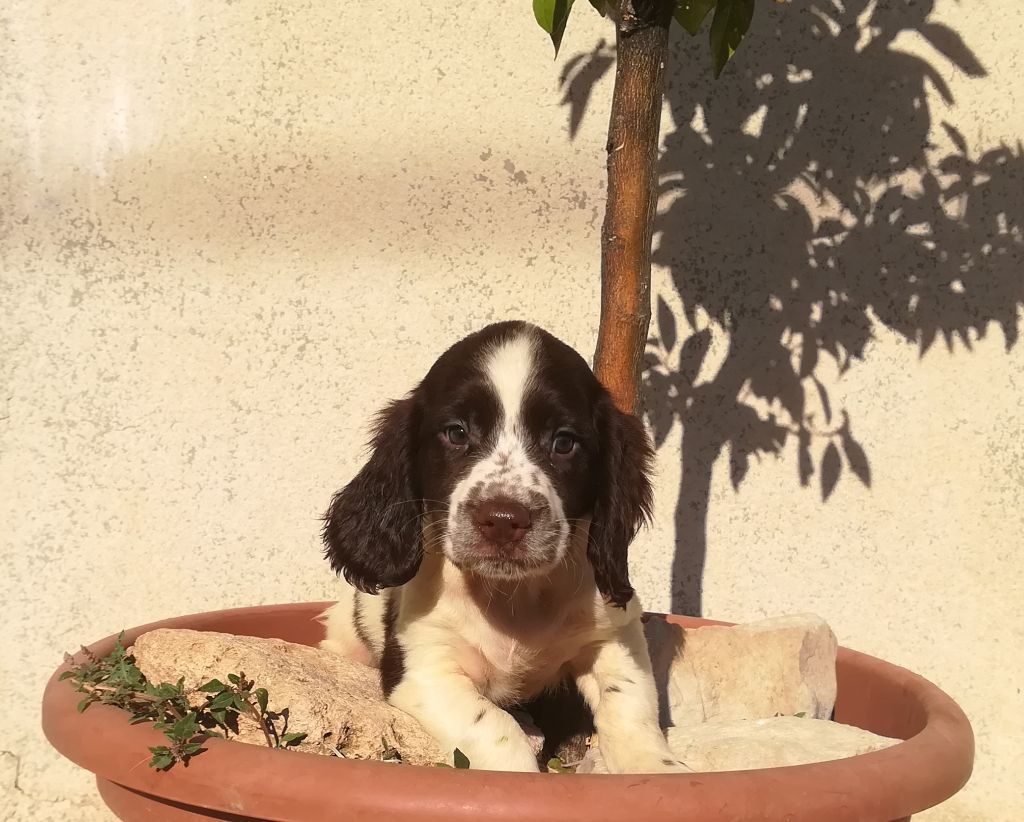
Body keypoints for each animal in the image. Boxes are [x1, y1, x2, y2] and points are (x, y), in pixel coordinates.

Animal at [319, 321, 685, 773]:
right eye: (456, 433)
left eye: (564, 442)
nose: (504, 520)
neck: (515, 598)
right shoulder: (426, 667)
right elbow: (496, 729)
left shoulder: (615, 634)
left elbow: (631, 708)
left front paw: (657, 769)